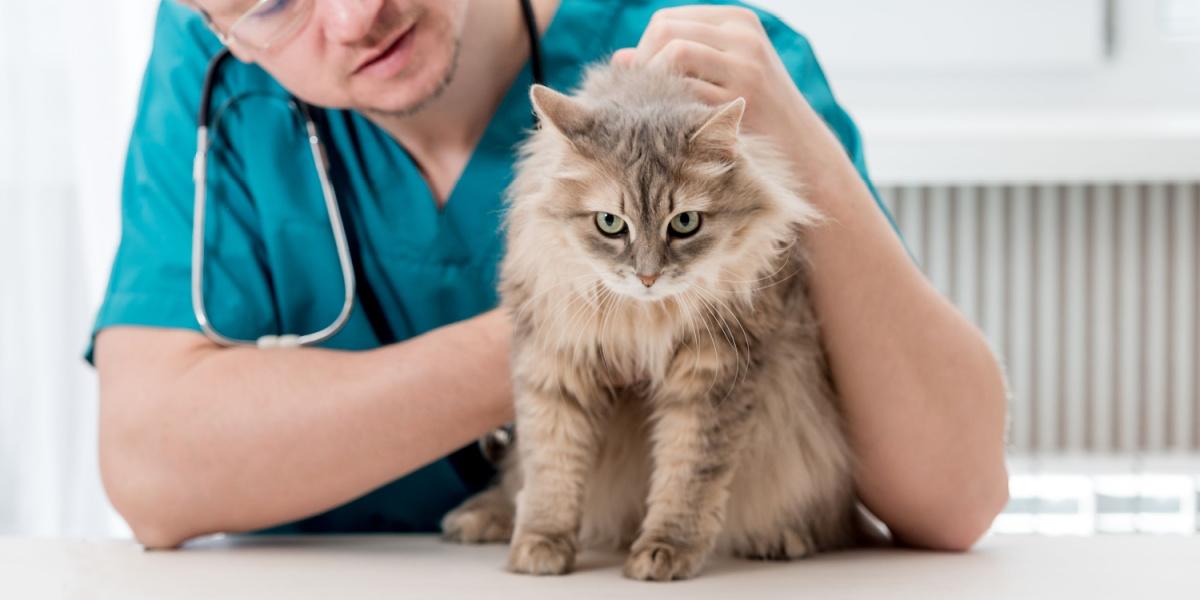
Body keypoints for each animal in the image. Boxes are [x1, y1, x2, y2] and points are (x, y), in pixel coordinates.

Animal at [441, 64, 864, 580]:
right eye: (609, 223)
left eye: (684, 223)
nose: (647, 276)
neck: (641, 314)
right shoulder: (553, 363)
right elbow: (551, 468)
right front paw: (540, 546)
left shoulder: (713, 375)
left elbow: (688, 474)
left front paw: (665, 552)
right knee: (514, 480)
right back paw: (481, 518)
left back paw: (780, 539)